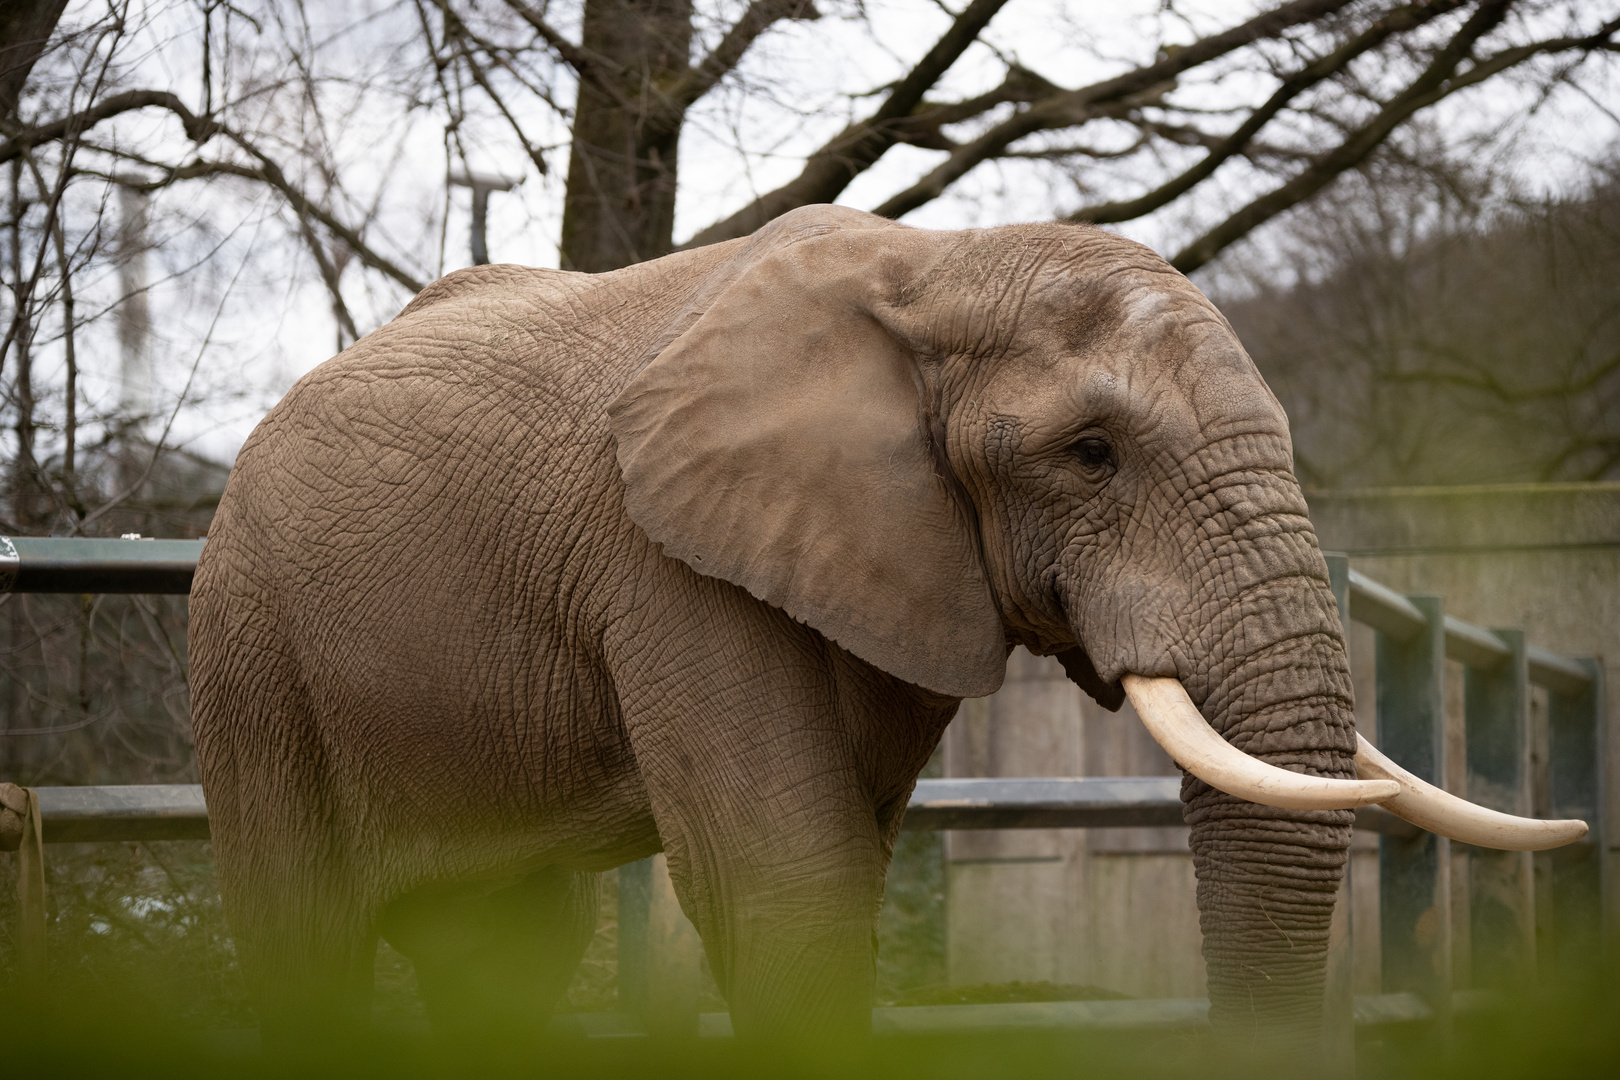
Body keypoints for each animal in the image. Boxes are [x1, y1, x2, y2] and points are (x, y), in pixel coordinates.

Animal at [189, 200, 1568, 1049]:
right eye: (1092, 453)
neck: (941, 268)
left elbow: (845, 869)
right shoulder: (665, 563)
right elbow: (787, 878)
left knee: (508, 953)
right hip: (252, 643)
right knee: (306, 937)